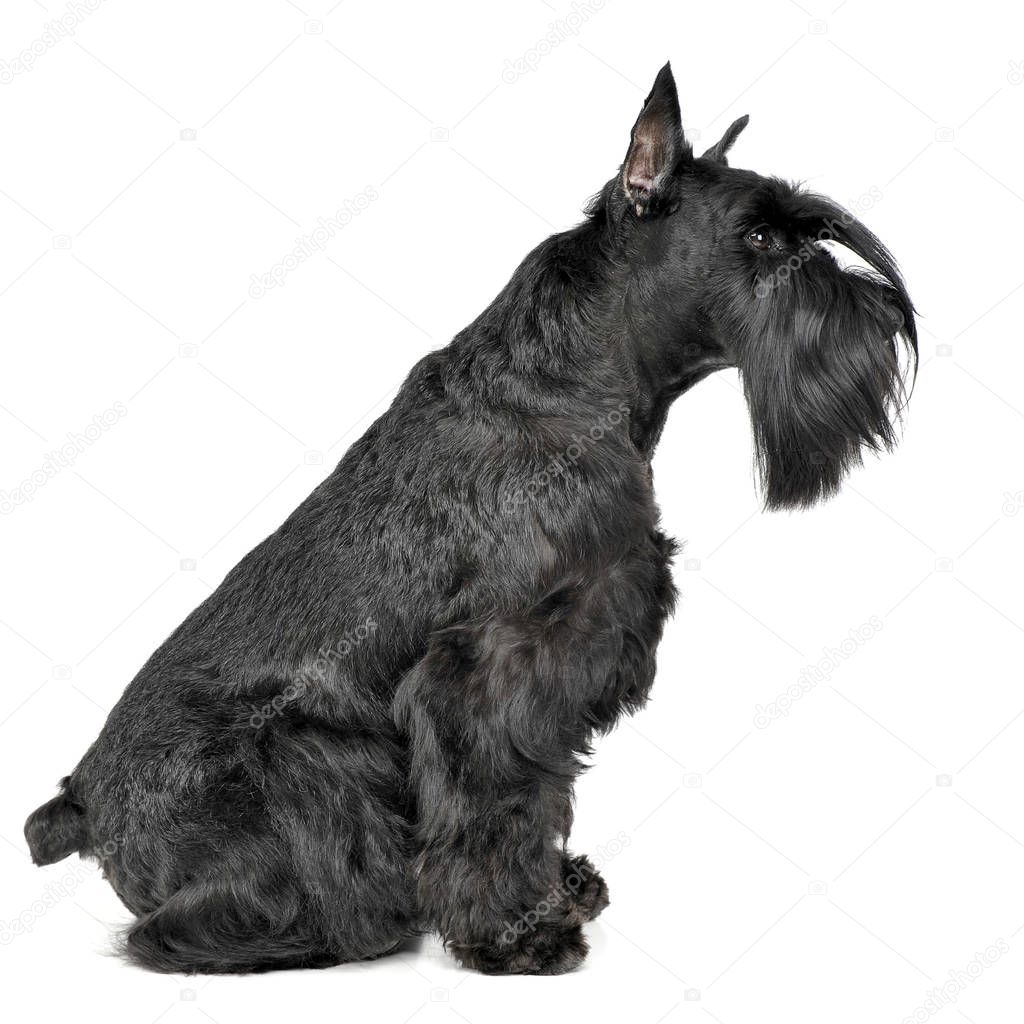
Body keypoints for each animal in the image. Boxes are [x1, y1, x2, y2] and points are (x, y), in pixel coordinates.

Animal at [24, 64, 917, 974]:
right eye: (762, 238)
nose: (888, 316)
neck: (577, 386)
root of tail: (82, 805)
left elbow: (540, 789)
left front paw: (552, 894)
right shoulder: (489, 666)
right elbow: (497, 801)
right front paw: (519, 933)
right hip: (301, 763)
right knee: (184, 925)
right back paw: (354, 922)